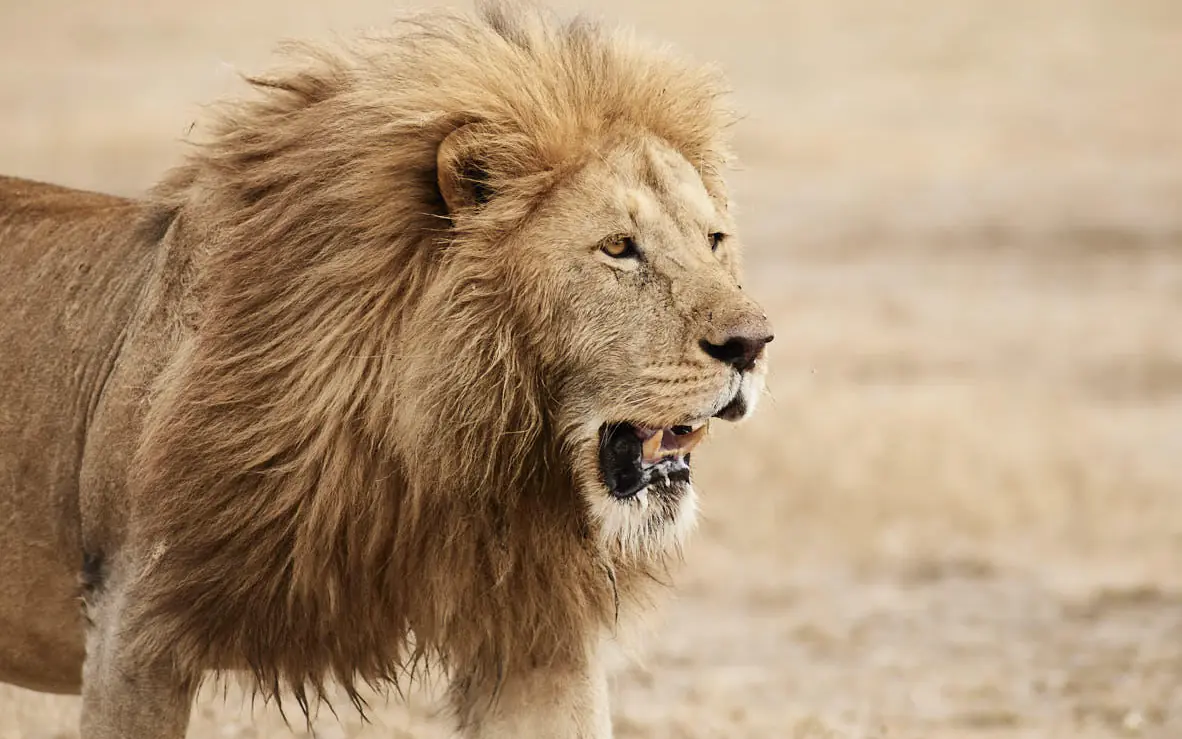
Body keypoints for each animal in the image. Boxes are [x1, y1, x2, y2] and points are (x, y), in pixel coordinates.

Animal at [0, 3, 771, 737]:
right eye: (617, 247)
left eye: (713, 239)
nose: (753, 344)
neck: (425, 451)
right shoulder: (133, 621)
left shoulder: (533, 635)